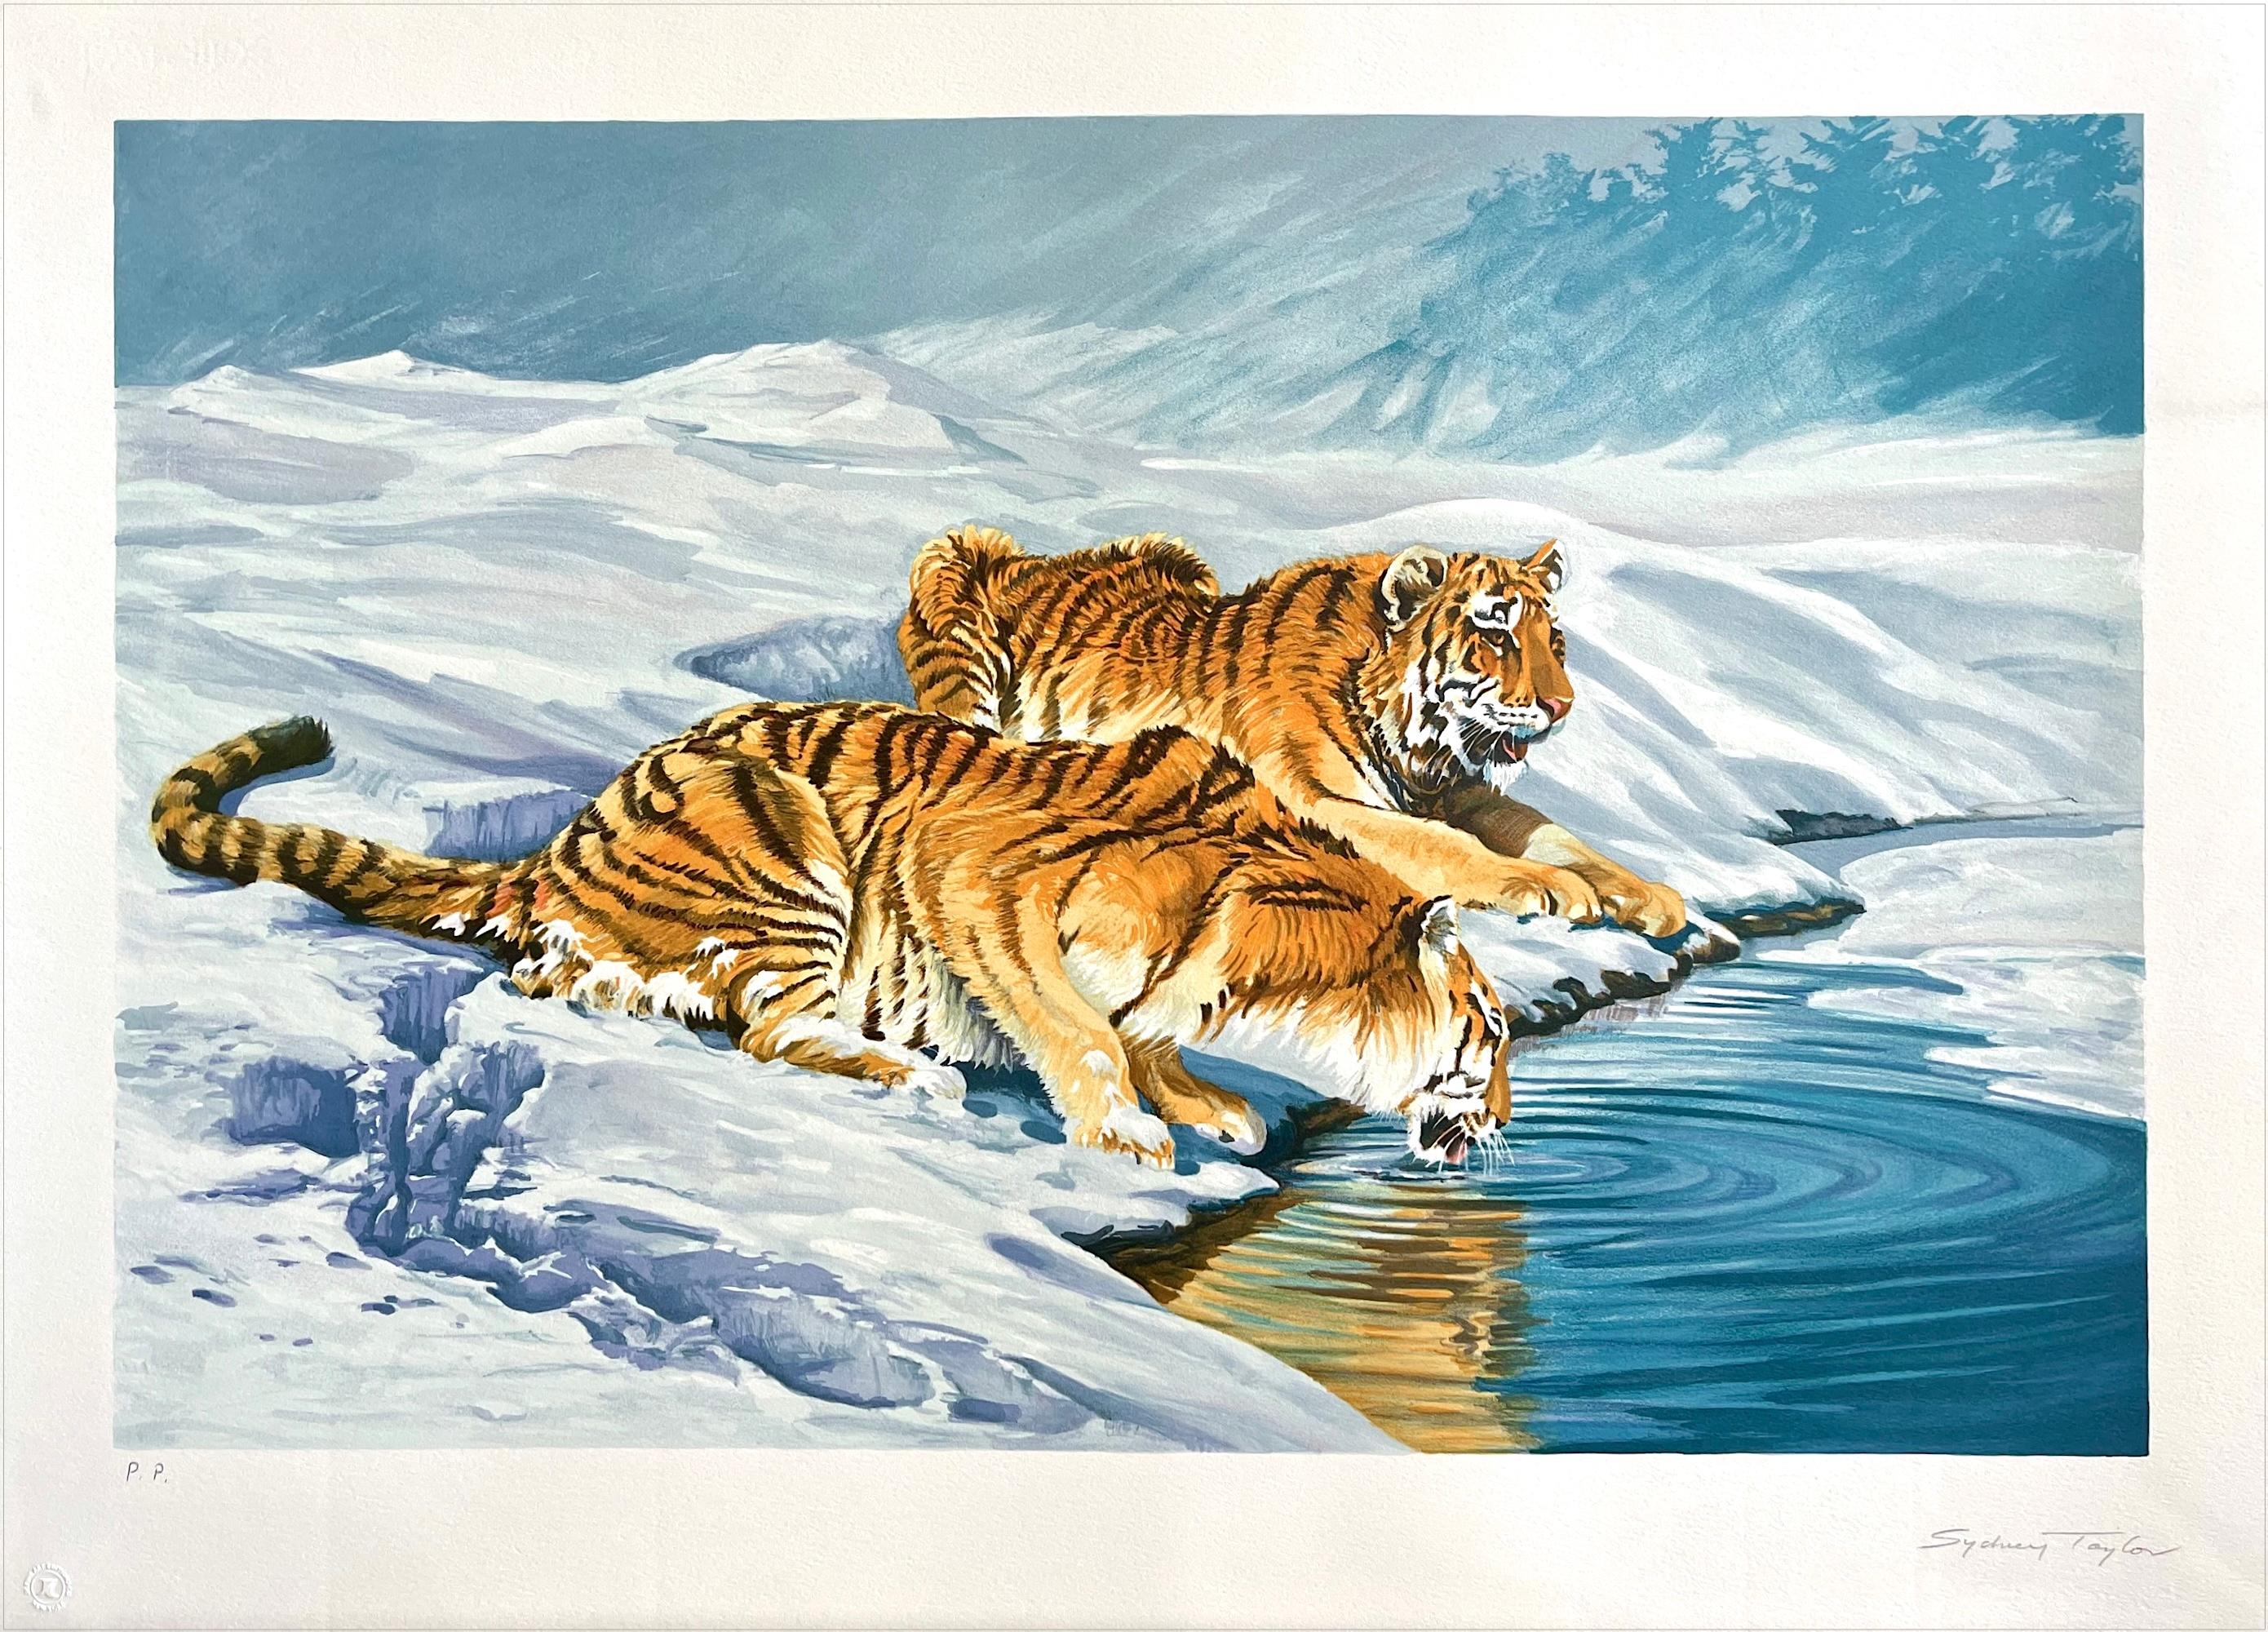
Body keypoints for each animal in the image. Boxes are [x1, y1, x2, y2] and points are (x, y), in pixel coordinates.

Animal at [150, 704, 1515, 1170]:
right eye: (1492, 1032)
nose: (1507, 1120)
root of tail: (554, 848)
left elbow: (1140, 1033)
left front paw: (1209, 1103)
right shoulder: (977, 874)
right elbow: (1078, 1029)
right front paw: (1128, 1130)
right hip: (779, 843)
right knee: (755, 1027)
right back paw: (912, 1071)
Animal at [898, 526, 1689, 938]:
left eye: (1555, 643)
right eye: (1495, 636)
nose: (1563, 705)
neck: (1423, 747)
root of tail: (1022, 555)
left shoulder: (1464, 792)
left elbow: (1559, 834)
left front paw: (1649, 895)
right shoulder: (1313, 797)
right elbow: (1440, 846)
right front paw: (1543, 887)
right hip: (951, 585)